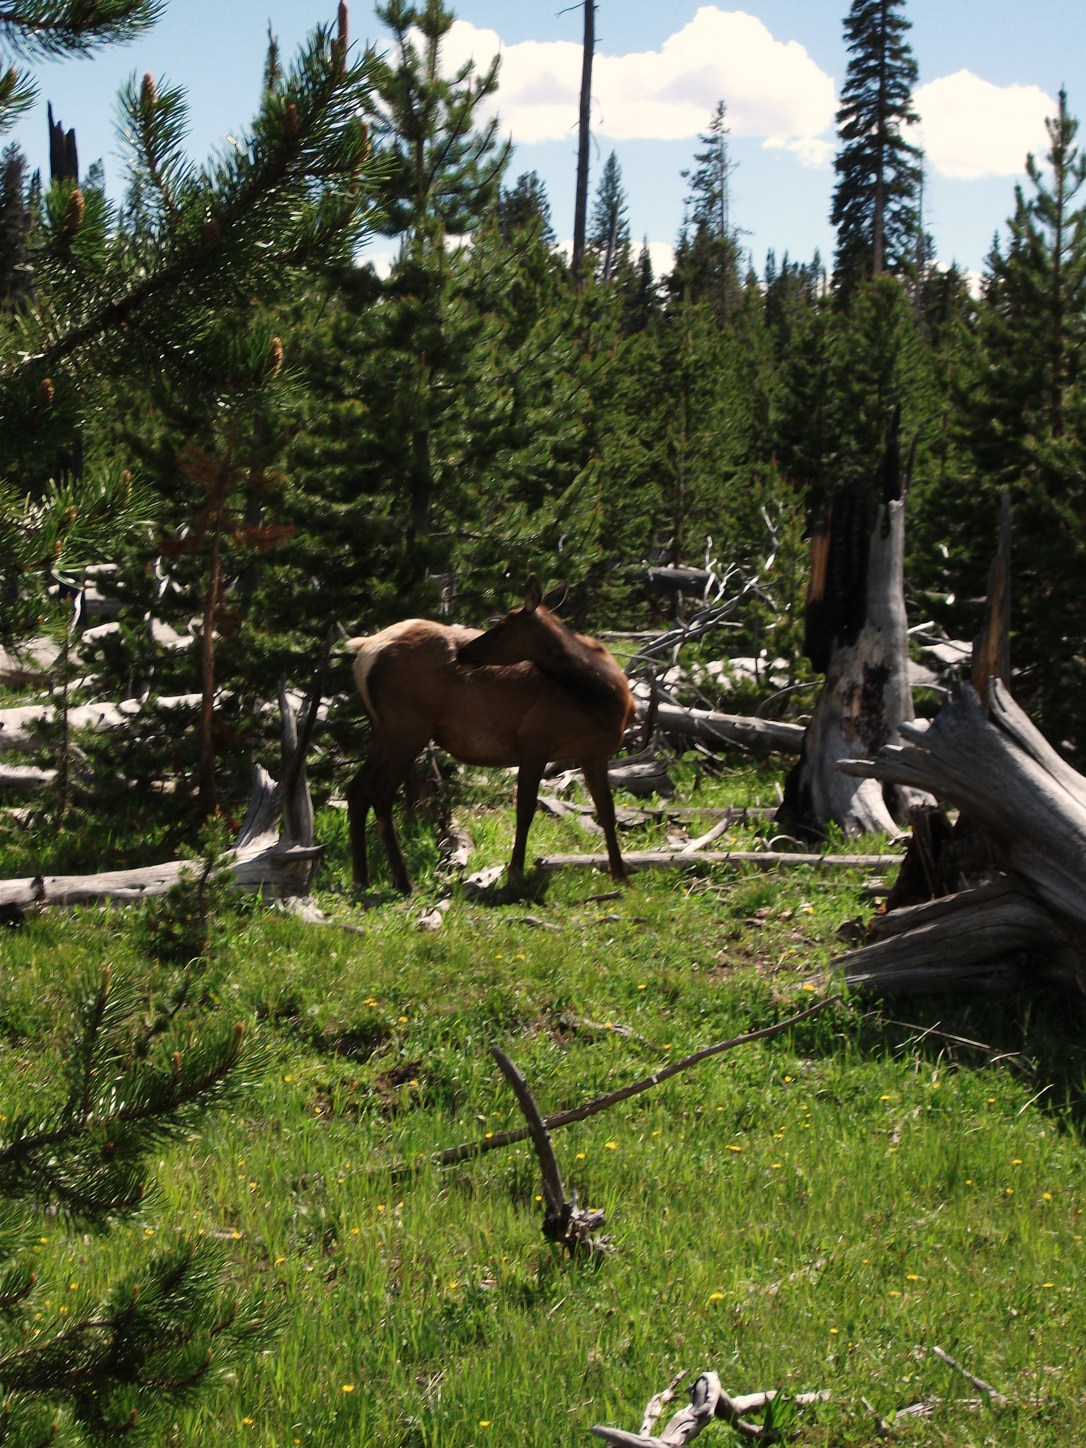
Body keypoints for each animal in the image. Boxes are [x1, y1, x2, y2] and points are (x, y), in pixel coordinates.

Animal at [345, 575, 634, 894]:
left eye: (503, 625)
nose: (464, 652)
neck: (604, 700)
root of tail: (365, 649)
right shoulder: (534, 741)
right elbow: (525, 810)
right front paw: (515, 873)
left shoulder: (594, 753)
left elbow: (607, 811)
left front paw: (621, 874)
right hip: (407, 728)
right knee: (380, 792)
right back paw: (403, 881)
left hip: (384, 730)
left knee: (357, 788)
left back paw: (361, 878)